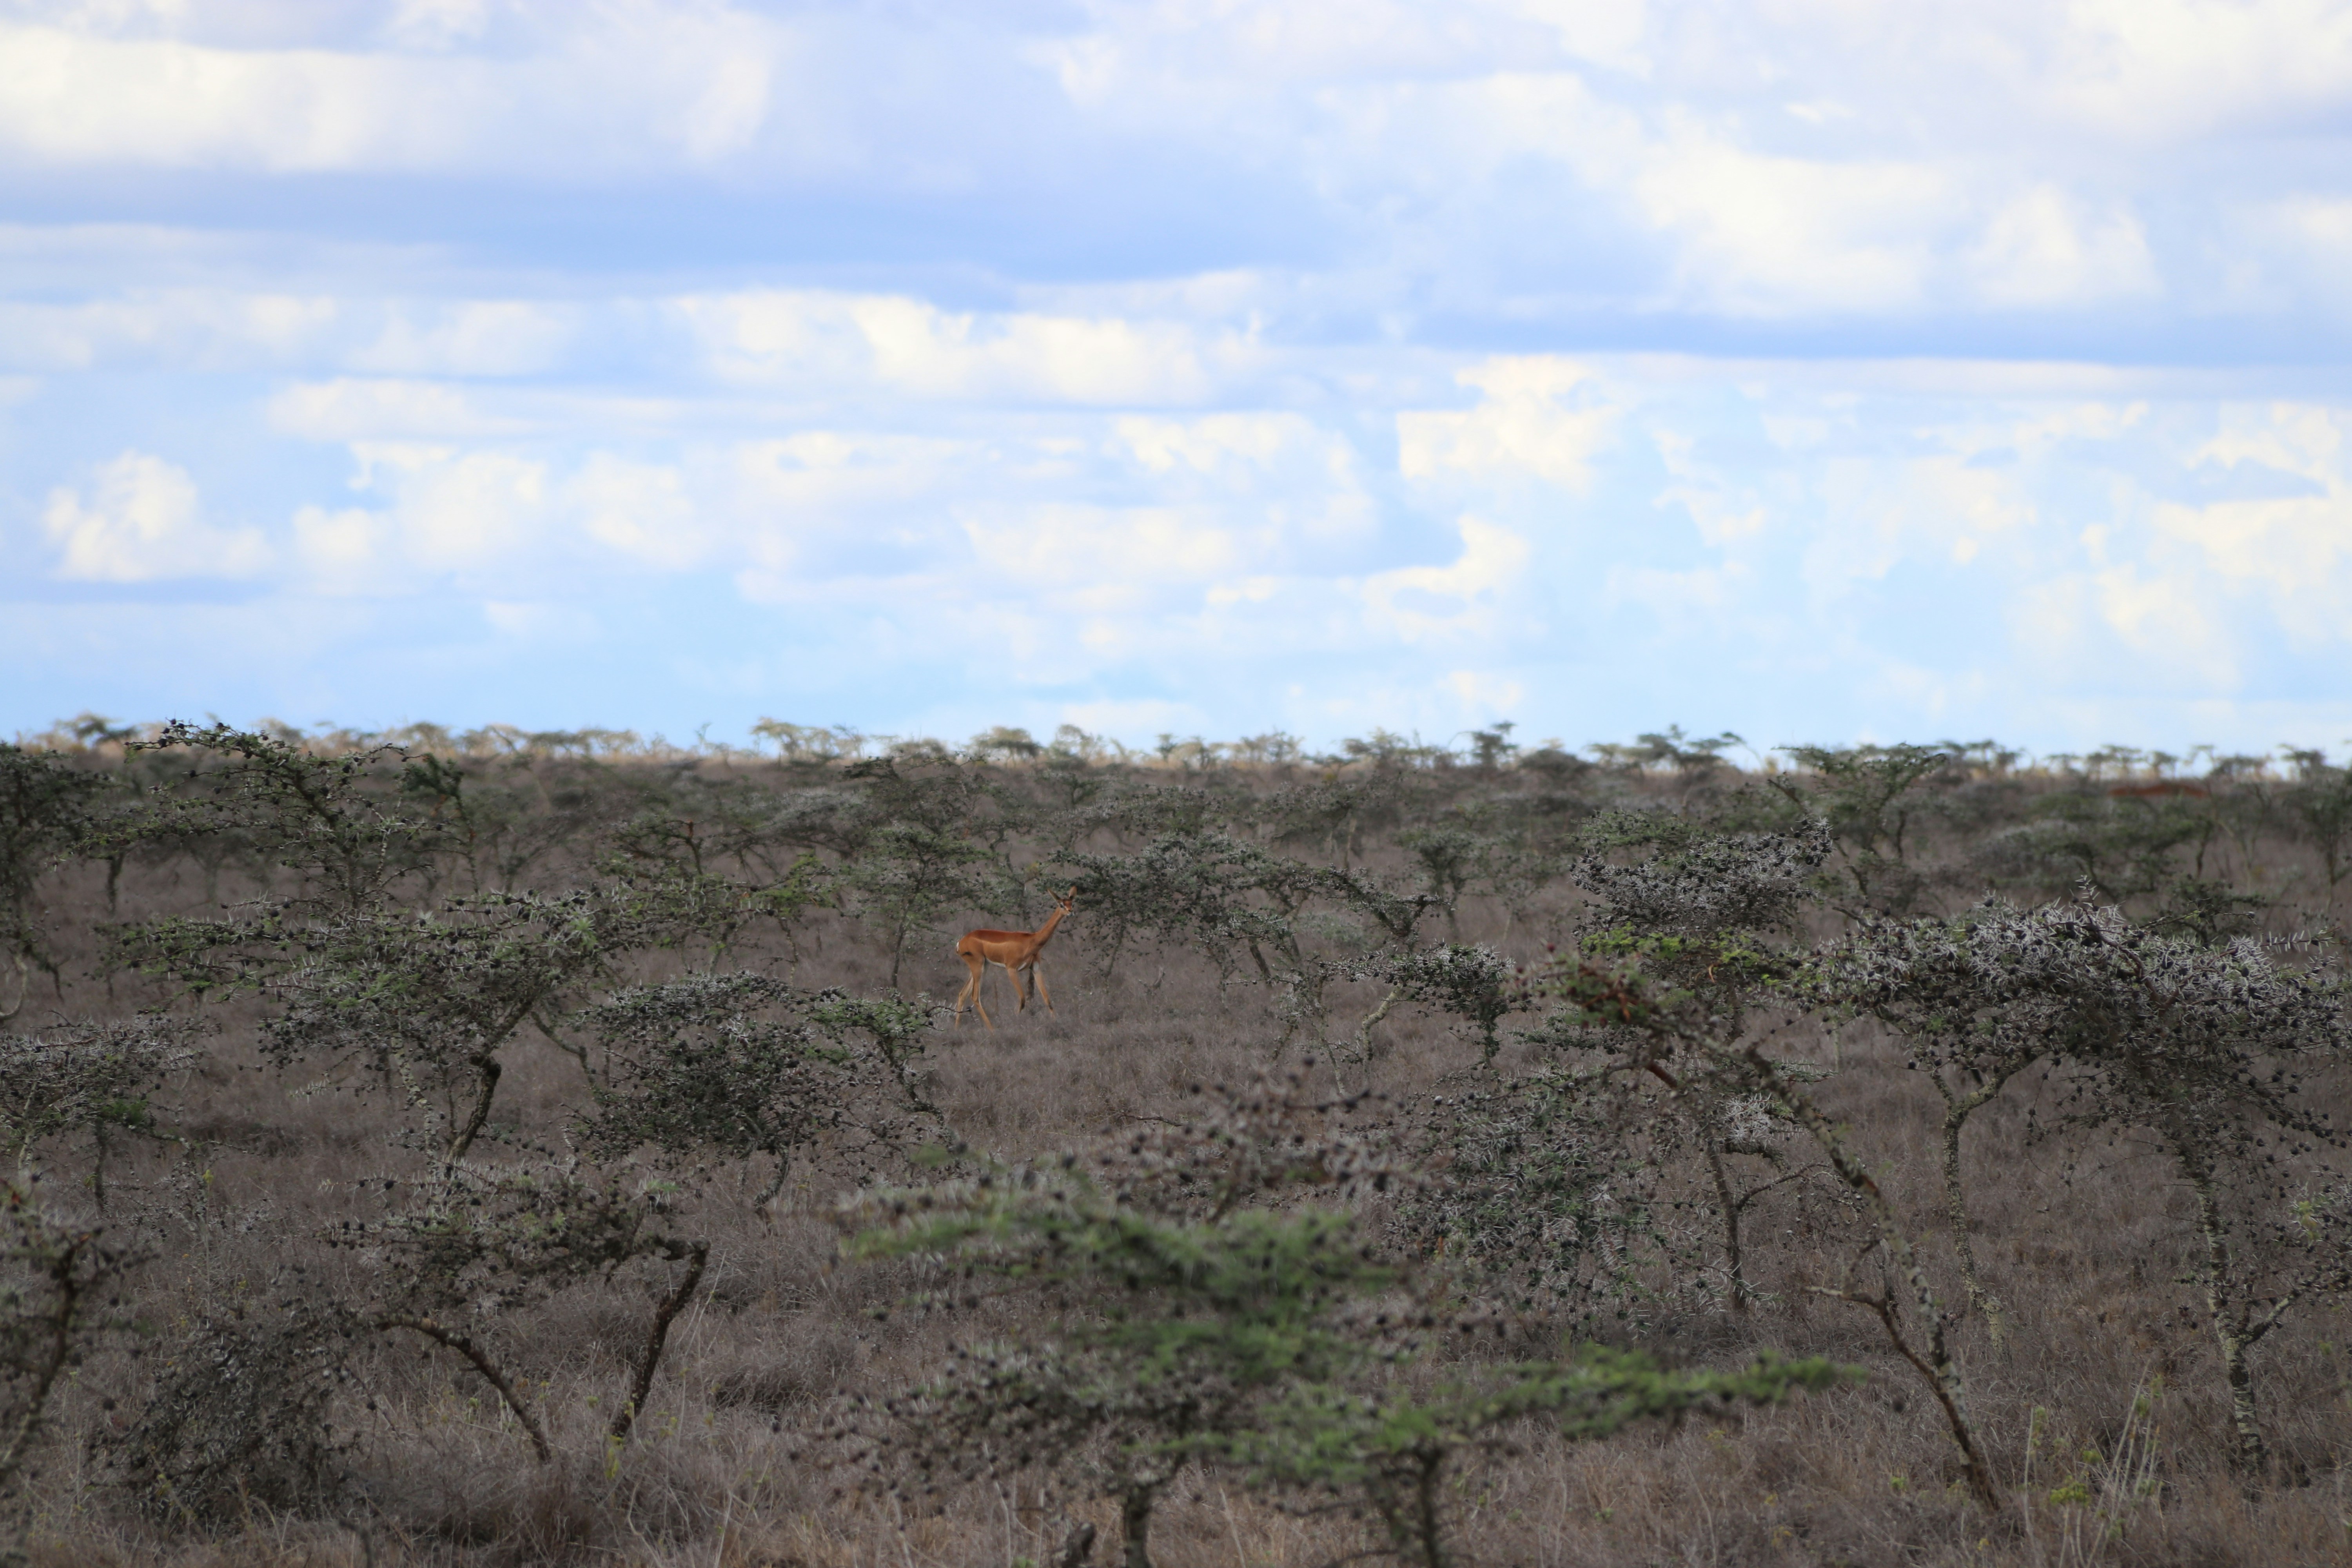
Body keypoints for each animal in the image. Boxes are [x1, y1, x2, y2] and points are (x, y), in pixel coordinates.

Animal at [953, 887, 1076, 1029]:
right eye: (1061, 905)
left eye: (1072, 903)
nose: (1071, 912)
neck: (1031, 941)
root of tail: (961, 942)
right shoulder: (1011, 969)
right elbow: (1022, 1000)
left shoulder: (1036, 969)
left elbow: (1047, 999)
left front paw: (1057, 1022)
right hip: (978, 967)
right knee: (975, 997)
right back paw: (992, 1031)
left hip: (982, 967)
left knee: (963, 994)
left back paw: (957, 1029)